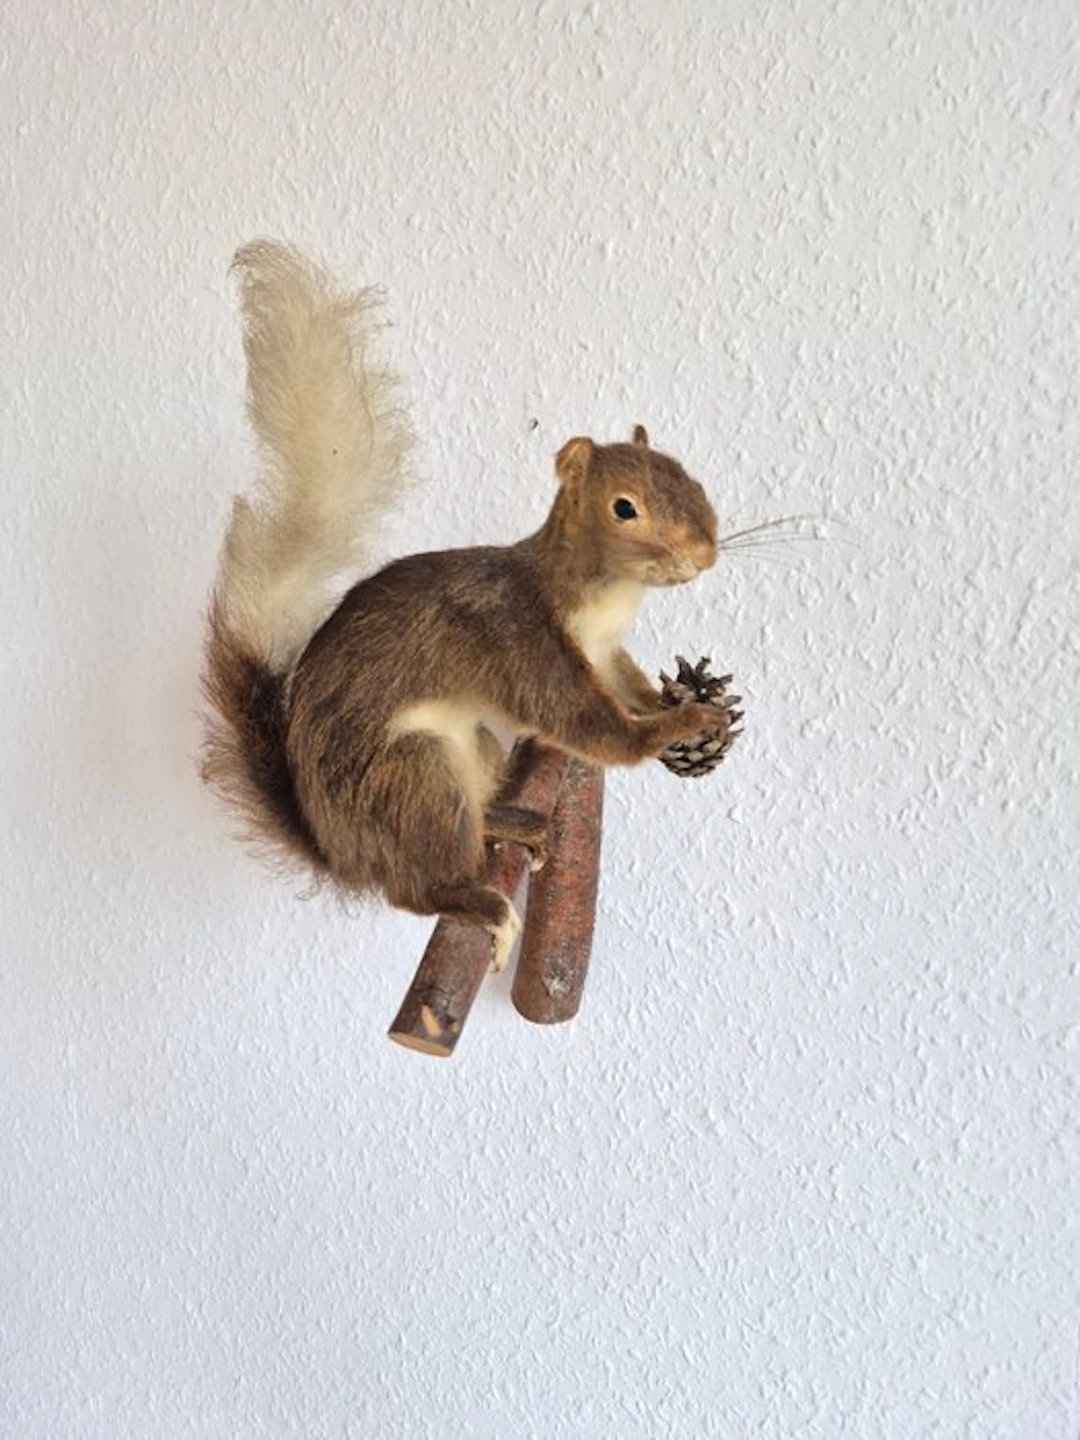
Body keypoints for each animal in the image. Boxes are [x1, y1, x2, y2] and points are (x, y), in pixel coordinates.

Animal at [201, 240, 733, 970]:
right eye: (624, 508)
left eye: (690, 477)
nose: (705, 554)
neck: (605, 599)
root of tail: (343, 852)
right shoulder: (519, 641)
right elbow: (596, 730)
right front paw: (680, 725)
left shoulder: (602, 650)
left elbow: (625, 683)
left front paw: (673, 699)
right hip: (416, 779)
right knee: (411, 889)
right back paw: (477, 902)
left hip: (474, 746)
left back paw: (512, 822)